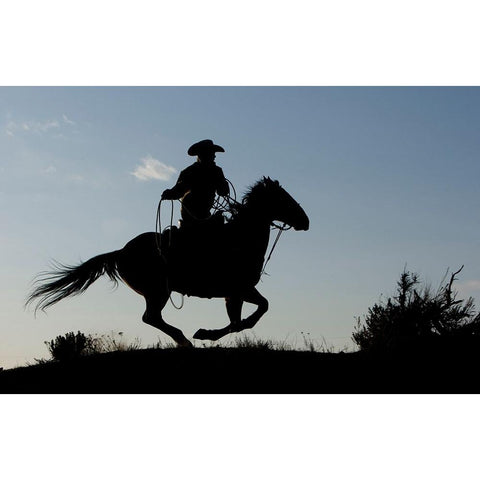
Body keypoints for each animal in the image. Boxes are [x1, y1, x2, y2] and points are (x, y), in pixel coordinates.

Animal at [26, 176, 310, 344]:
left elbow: (242, 319)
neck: (240, 239)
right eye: (284, 198)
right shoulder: (238, 289)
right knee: (150, 317)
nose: (305, 221)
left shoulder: (237, 291)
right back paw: (182, 339)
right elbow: (249, 317)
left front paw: (208, 333)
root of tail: (121, 252)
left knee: (152, 318)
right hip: (157, 291)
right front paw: (205, 333)